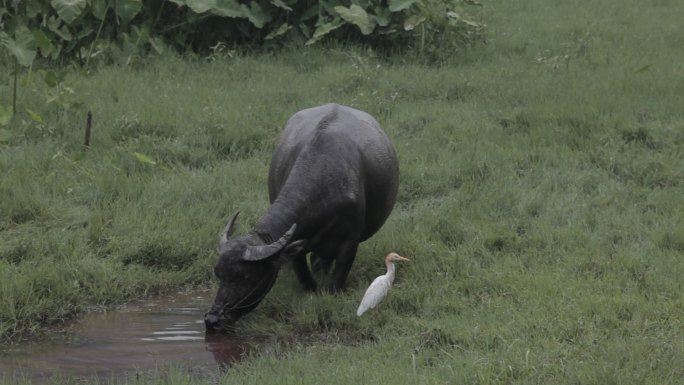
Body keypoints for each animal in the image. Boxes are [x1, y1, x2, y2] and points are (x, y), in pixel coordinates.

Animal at [208, 103, 400, 330]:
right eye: (218, 273)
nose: (212, 320)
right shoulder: (298, 244)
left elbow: (338, 276)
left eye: (244, 276)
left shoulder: (350, 242)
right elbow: (303, 273)